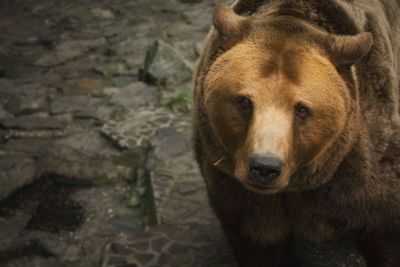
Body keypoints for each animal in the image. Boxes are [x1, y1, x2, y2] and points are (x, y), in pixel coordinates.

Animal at [194, 0, 400, 266]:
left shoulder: (362, 174)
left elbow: (384, 228)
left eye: (302, 109)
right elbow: (259, 243)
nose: (265, 167)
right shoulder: (238, 190)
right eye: (244, 101)